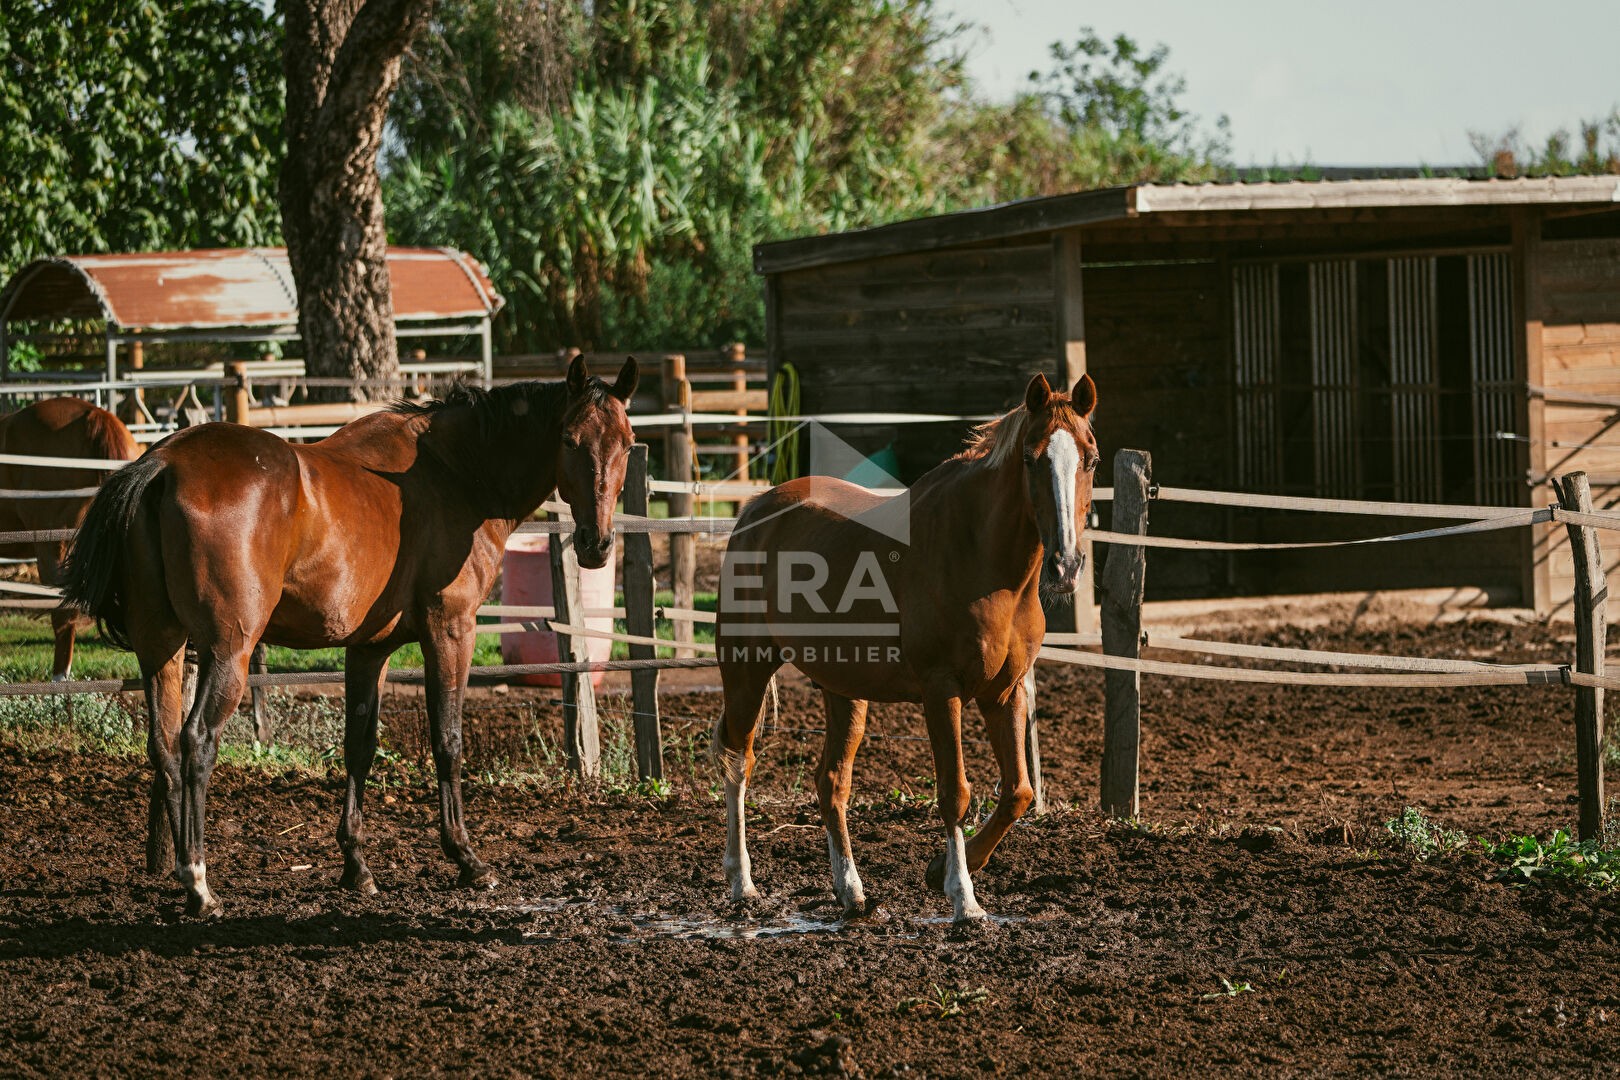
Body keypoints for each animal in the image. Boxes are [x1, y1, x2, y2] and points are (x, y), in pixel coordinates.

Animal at [63, 359, 635, 919]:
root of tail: (163, 464)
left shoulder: (368, 648)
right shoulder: (451, 630)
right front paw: (467, 859)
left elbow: (359, 746)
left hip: (162, 647)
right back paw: (199, 883)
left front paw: (356, 866)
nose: (596, 544)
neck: (453, 472)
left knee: (163, 747)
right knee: (197, 742)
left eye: (628, 444)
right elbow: (447, 741)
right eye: (569, 439)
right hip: (228, 653)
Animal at [719, 375, 1101, 926]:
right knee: (738, 762)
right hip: (746, 669)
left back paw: (851, 892)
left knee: (831, 782)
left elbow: (1019, 792)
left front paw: (939, 870)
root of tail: (755, 509)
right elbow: (955, 792)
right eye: (1031, 458)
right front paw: (963, 898)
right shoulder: (942, 691)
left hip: (844, 690)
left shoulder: (1005, 692)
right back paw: (742, 883)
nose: (1066, 566)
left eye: (1090, 459)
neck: (982, 561)